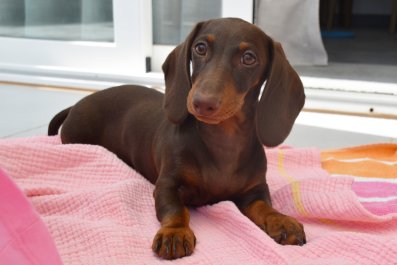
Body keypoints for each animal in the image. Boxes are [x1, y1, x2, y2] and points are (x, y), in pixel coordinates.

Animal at [48, 18, 304, 258]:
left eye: (249, 58)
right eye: (200, 48)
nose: (202, 102)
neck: (223, 141)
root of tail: (76, 105)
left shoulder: (255, 190)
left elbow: (264, 206)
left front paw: (281, 220)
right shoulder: (166, 185)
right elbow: (176, 210)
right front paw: (175, 233)